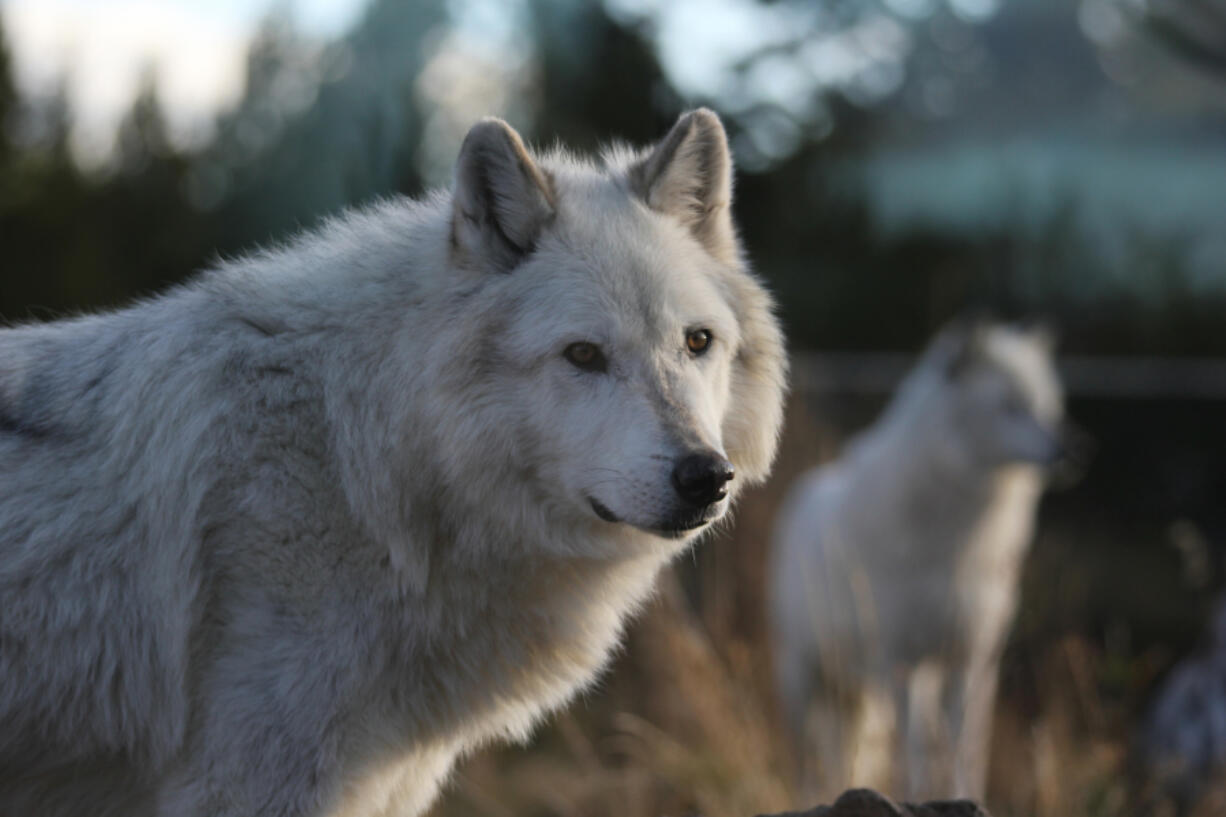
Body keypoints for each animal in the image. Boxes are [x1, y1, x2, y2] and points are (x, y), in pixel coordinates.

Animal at [769, 318, 1059, 794]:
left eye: (1045, 408)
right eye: (1008, 407)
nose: (1072, 448)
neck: (955, 545)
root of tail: (806, 490)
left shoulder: (970, 660)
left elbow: (965, 749)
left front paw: (962, 797)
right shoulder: (901, 661)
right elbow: (915, 750)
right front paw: (915, 797)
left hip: (867, 689)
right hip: (806, 681)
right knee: (809, 759)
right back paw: (810, 794)